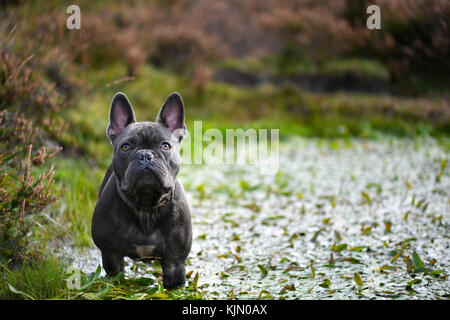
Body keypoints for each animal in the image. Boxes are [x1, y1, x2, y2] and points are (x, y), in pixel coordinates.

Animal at [91, 91, 192, 288]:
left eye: (165, 146)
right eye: (126, 147)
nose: (145, 155)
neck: (146, 207)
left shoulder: (175, 263)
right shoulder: (111, 255)